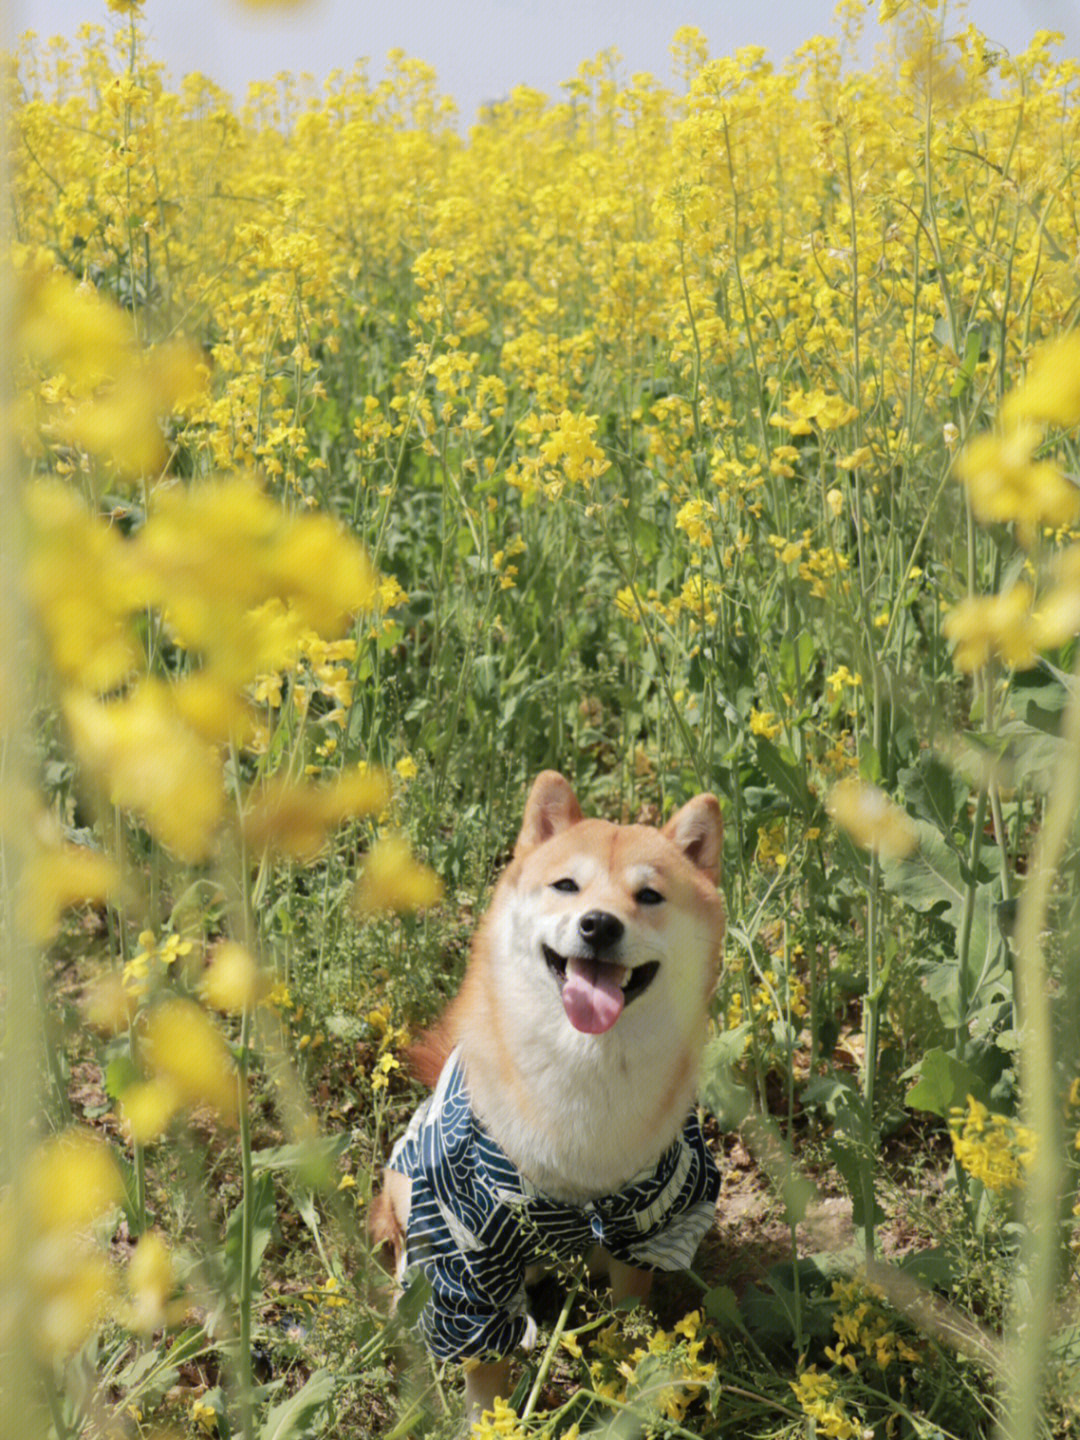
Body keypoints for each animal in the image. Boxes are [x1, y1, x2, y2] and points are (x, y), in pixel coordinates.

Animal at [371, 771, 728, 1422]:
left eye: (649, 896)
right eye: (566, 885)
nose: (599, 924)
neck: (585, 1070)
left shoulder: (658, 1216)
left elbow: (629, 1314)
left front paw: (626, 1383)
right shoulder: (466, 1253)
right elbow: (482, 1363)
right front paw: (487, 1422)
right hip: (411, 1199)